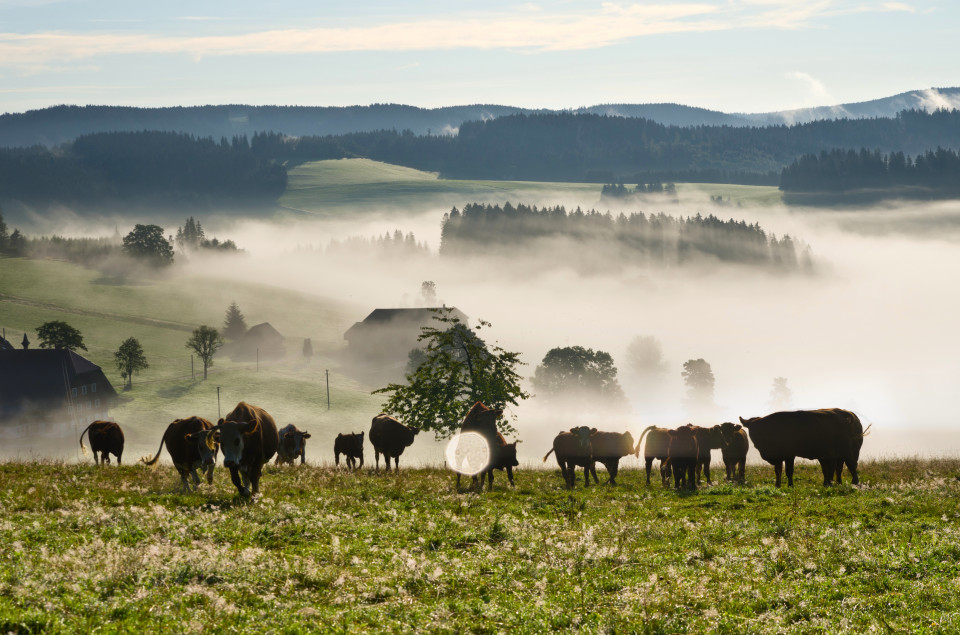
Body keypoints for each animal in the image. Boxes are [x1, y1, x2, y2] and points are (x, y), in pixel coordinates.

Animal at [740, 410, 868, 490]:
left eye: (761, 429)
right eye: (752, 430)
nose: (756, 439)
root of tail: (847, 414)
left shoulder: (789, 455)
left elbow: (789, 471)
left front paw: (790, 486)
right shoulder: (778, 457)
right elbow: (778, 471)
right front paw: (777, 485)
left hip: (848, 451)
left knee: (851, 466)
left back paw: (854, 483)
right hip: (831, 455)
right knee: (834, 469)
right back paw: (831, 483)